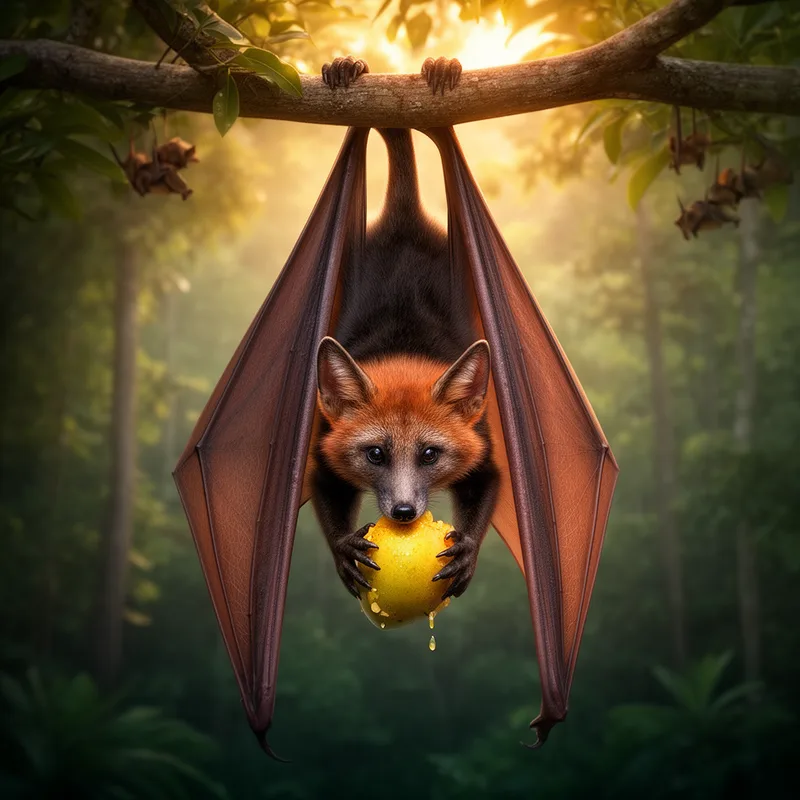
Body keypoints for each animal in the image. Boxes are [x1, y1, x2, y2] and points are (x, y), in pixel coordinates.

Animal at [312, 109, 499, 602]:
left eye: (430, 454)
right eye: (376, 453)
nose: (402, 512)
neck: (404, 345)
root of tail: (405, 215)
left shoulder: (486, 455)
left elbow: (487, 486)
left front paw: (466, 553)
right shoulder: (321, 454)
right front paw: (345, 551)